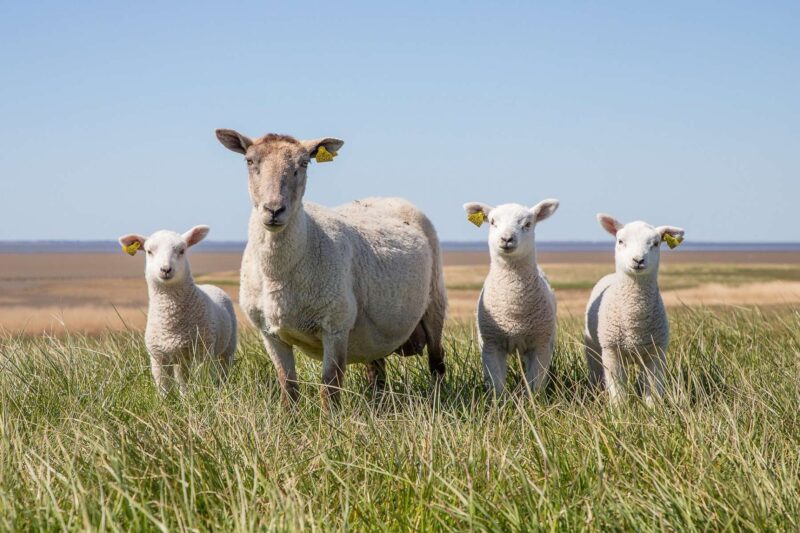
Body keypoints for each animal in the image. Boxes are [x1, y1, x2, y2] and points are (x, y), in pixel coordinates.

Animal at [118, 224, 238, 394]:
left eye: (182, 250)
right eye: (149, 251)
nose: (165, 269)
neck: (171, 321)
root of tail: (209, 285)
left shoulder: (202, 351)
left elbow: (201, 379)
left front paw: (201, 394)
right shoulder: (158, 357)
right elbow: (163, 388)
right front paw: (166, 401)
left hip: (227, 347)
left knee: (223, 369)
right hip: (180, 358)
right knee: (182, 379)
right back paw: (184, 395)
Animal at [460, 200, 560, 394]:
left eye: (528, 224)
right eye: (492, 222)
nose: (506, 239)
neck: (514, 309)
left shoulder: (541, 344)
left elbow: (535, 384)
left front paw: (534, 401)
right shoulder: (491, 345)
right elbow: (497, 385)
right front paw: (499, 402)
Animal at [584, 212, 684, 404]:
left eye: (656, 243)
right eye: (620, 241)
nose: (638, 260)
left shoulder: (656, 352)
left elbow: (653, 389)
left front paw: (652, 410)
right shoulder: (612, 352)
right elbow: (617, 391)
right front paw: (619, 410)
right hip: (593, 348)